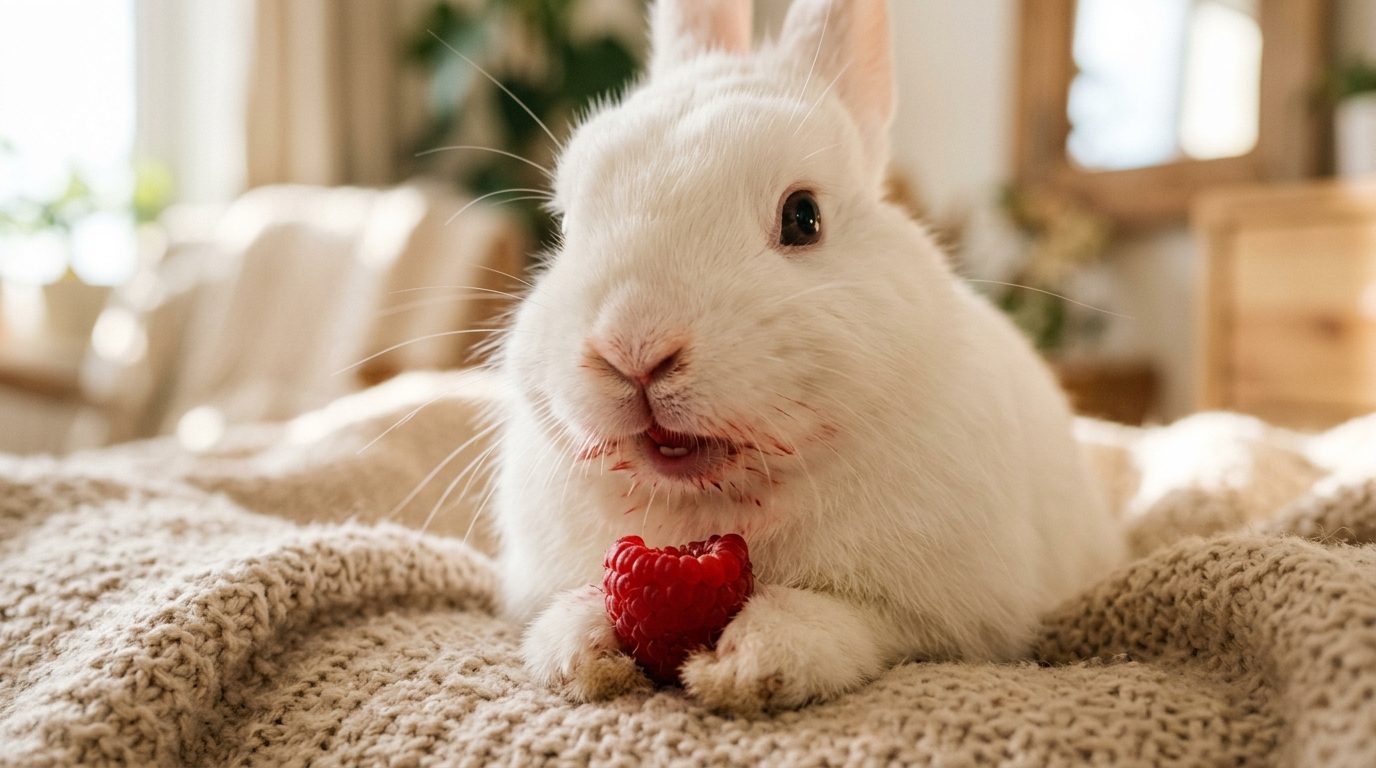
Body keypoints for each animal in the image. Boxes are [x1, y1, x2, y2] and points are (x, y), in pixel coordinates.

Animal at [493, 0, 1125, 714]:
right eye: (566, 227)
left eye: (803, 217)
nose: (634, 348)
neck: (716, 499)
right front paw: (579, 652)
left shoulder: (940, 617)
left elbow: (850, 620)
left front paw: (748, 662)